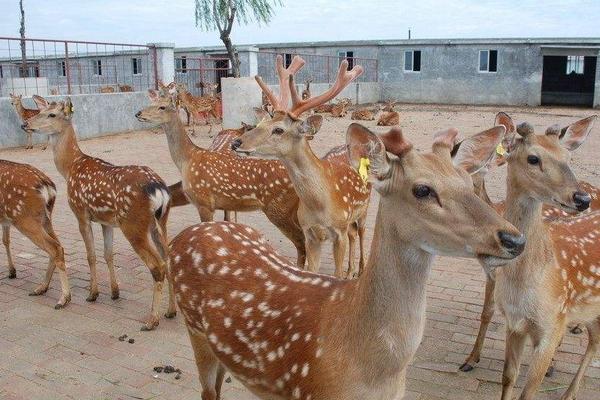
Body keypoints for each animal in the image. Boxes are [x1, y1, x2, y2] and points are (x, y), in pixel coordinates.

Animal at [0, 159, 71, 310]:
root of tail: (48, 188)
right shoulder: (5, 220)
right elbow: (6, 240)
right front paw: (12, 272)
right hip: (45, 218)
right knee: (59, 246)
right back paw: (42, 288)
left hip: (24, 218)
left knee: (54, 247)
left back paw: (63, 299)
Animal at [23, 95, 173, 330]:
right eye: (39, 111)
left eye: (52, 114)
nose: (25, 124)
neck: (70, 168)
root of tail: (159, 189)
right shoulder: (106, 221)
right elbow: (108, 254)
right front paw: (114, 292)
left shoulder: (81, 213)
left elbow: (91, 255)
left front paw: (93, 294)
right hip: (160, 222)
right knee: (169, 259)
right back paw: (170, 311)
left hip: (134, 224)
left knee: (157, 266)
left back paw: (151, 320)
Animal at [169, 121, 524, 400]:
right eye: (422, 190)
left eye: (468, 183)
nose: (515, 239)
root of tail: (185, 235)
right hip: (195, 331)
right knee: (207, 391)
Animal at [234, 55, 370, 278]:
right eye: (261, 124)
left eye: (278, 130)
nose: (236, 142)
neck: (320, 205)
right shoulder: (310, 232)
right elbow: (312, 270)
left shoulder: (338, 230)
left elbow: (336, 274)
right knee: (353, 233)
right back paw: (351, 270)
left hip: (365, 208)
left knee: (361, 232)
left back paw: (360, 269)